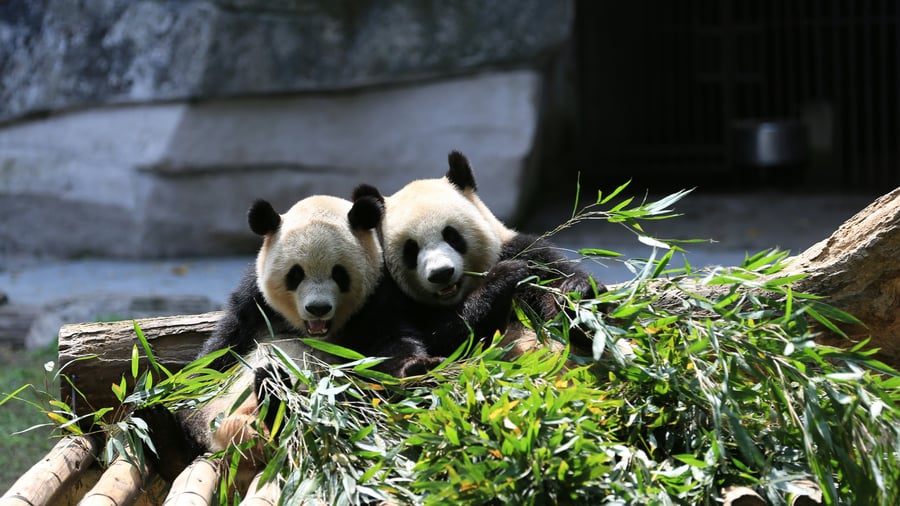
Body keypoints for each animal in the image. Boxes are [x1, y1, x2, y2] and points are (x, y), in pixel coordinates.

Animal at [355, 150, 603, 358]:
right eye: (411, 249)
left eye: (452, 236)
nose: (441, 273)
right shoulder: (384, 295)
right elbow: (443, 340)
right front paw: (505, 276)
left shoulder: (524, 252)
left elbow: (553, 282)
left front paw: (576, 295)